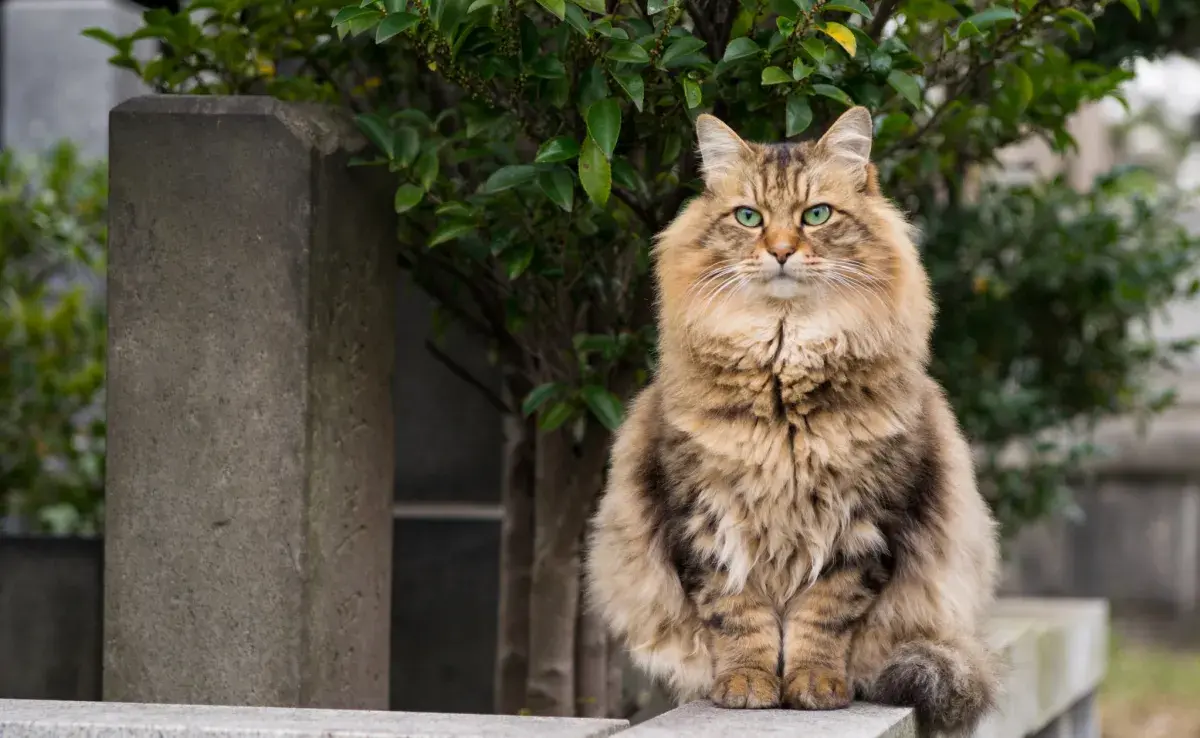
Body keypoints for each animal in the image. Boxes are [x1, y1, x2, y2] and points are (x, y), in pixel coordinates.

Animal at [585, 106, 998, 734]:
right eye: (749, 217)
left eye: (816, 215)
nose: (780, 250)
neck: (783, 369)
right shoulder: (705, 519)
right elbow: (739, 618)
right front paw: (748, 686)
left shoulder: (863, 524)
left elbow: (822, 619)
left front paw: (814, 687)